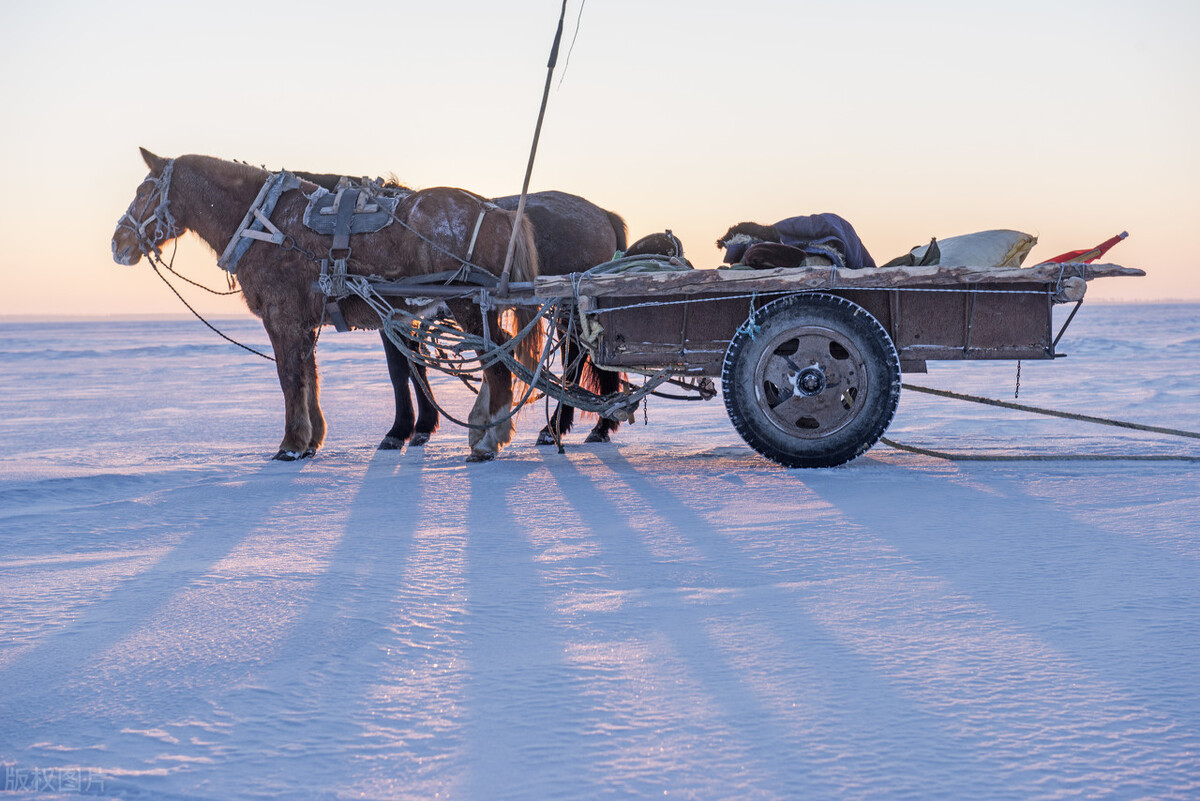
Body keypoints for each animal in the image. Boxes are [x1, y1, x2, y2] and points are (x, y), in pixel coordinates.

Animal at [112, 149, 544, 462]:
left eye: (143, 192)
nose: (118, 243)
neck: (264, 222)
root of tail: (497, 210)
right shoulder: (304, 321)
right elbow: (310, 376)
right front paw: (310, 440)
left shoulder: (281, 315)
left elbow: (290, 377)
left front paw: (289, 444)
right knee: (500, 354)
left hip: (467, 304)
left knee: (497, 360)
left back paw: (488, 440)